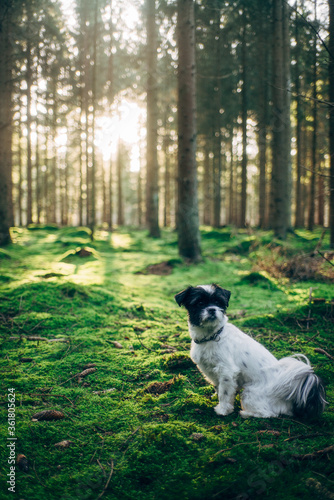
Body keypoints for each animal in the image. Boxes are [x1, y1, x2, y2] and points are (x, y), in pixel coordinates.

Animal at [175, 286, 326, 418]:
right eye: (200, 303)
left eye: (218, 302)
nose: (212, 309)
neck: (211, 337)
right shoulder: (211, 371)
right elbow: (219, 388)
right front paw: (216, 397)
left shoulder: (227, 372)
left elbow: (225, 392)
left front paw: (223, 409)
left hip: (250, 393)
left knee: (269, 413)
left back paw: (246, 413)